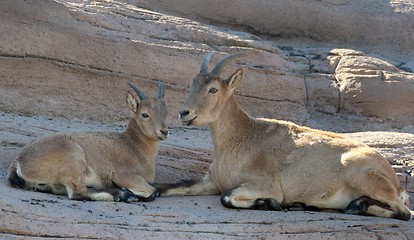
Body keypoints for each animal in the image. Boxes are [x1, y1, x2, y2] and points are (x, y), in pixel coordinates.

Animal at [8, 81, 167, 202]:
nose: (164, 131)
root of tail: (19, 160)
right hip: (74, 160)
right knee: (78, 193)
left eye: (165, 112)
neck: (133, 145)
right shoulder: (124, 175)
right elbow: (153, 191)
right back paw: (124, 195)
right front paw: (129, 191)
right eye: (144, 114)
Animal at [157, 53, 412, 221]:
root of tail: (397, 182)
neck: (241, 138)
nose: (184, 113)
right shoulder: (211, 181)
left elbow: (227, 197)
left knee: (404, 213)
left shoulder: (265, 184)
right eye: (192, 84)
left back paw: (356, 206)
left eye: (213, 89)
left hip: (365, 175)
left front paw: (267, 203)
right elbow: (169, 186)